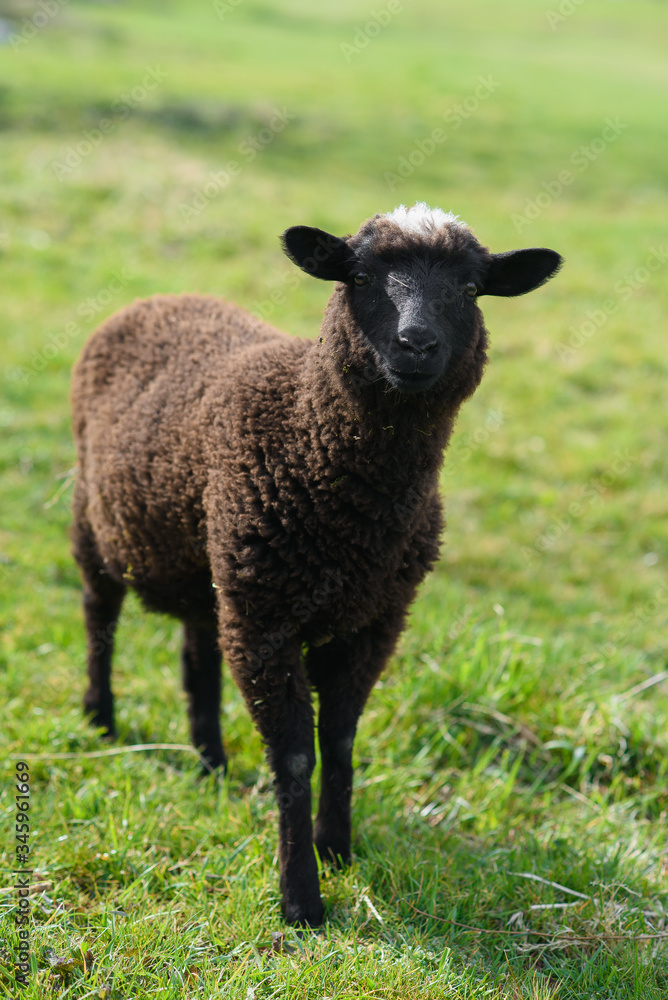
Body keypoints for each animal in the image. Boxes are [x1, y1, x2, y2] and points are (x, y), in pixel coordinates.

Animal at [72, 205, 564, 928]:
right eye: (357, 277)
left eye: (472, 289)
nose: (417, 345)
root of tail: (160, 298)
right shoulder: (267, 618)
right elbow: (296, 756)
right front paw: (300, 896)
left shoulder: (374, 619)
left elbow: (339, 739)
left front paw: (337, 848)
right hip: (98, 520)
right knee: (99, 616)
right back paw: (100, 718)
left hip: (214, 564)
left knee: (196, 653)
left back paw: (210, 761)